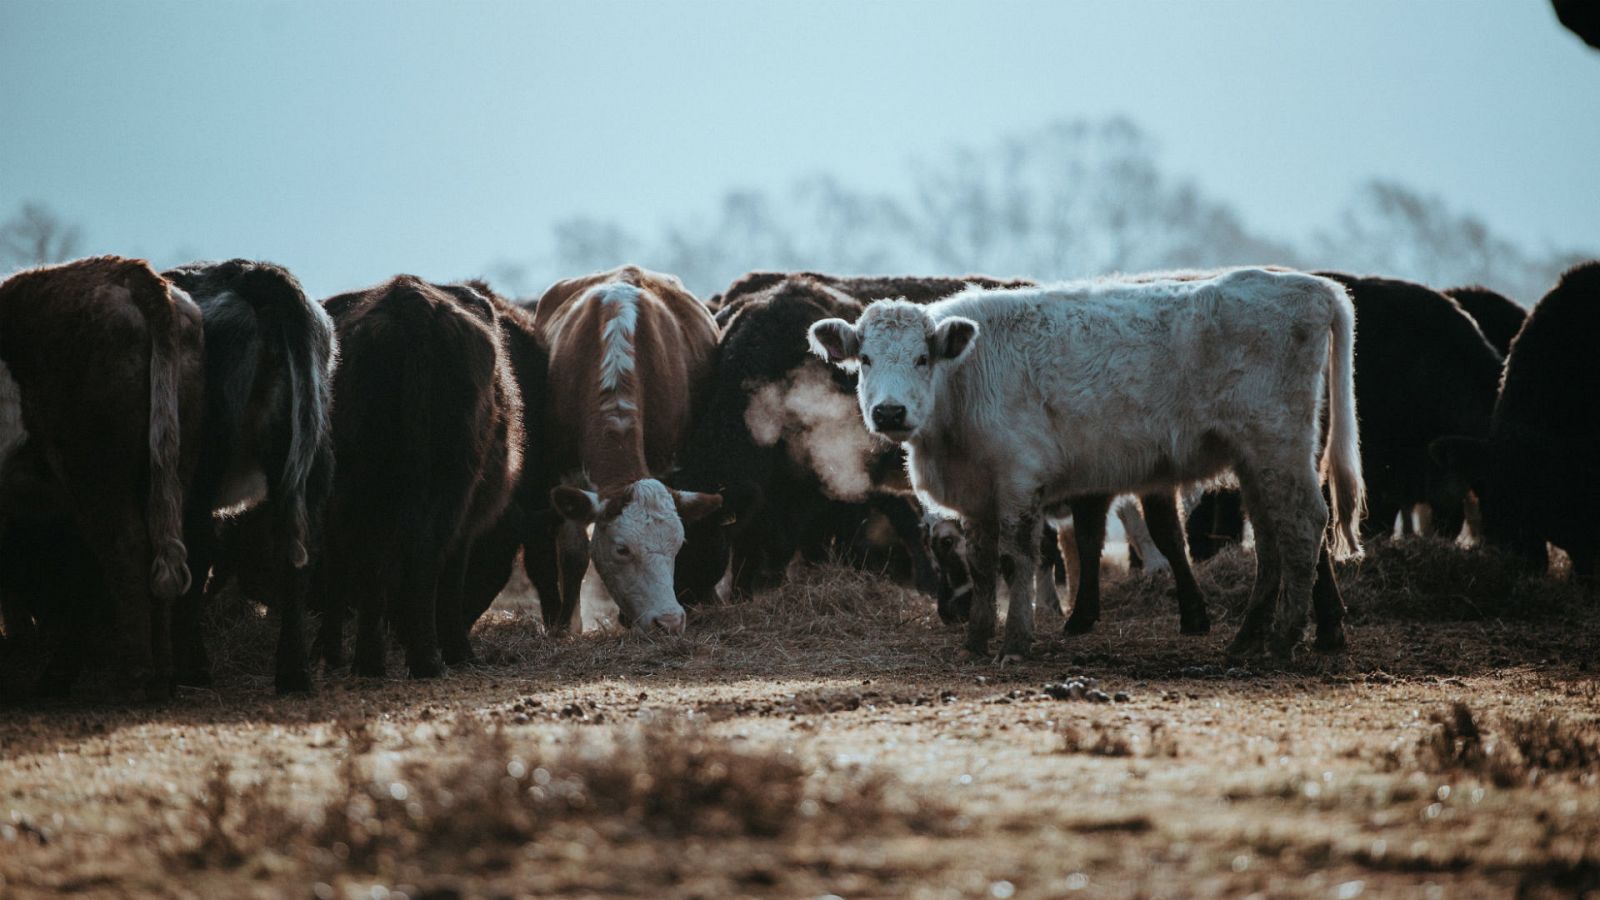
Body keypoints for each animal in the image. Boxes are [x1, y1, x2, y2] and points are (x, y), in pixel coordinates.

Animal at [0, 256, 206, 698]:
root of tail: (128, 272)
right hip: (173, 461)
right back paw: (162, 675)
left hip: (91, 467)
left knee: (124, 545)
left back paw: (136, 676)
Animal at [318, 273, 524, 672]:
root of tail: (410, 301)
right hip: (451, 480)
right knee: (423, 557)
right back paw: (428, 658)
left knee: (377, 557)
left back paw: (372, 661)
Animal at [534, 264, 723, 630]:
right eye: (623, 549)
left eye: (677, 545)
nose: (668, 621)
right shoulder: (565, 469)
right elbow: (574, 551)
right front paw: (567, 626)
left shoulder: (667, 464)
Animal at [812, 265, 1363, 659]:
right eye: (865, 360)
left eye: (922, 359)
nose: (889, 411)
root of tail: (1311, 286)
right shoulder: (978, 494)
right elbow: (985, 565)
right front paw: (976, 640)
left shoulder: (1020, 480)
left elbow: (1019, 559)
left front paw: (1017, 643)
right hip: (1255, 459)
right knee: (1271, 537)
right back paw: (1248, 637)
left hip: (1279, 444)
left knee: (1304, 524)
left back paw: (1284, 640)